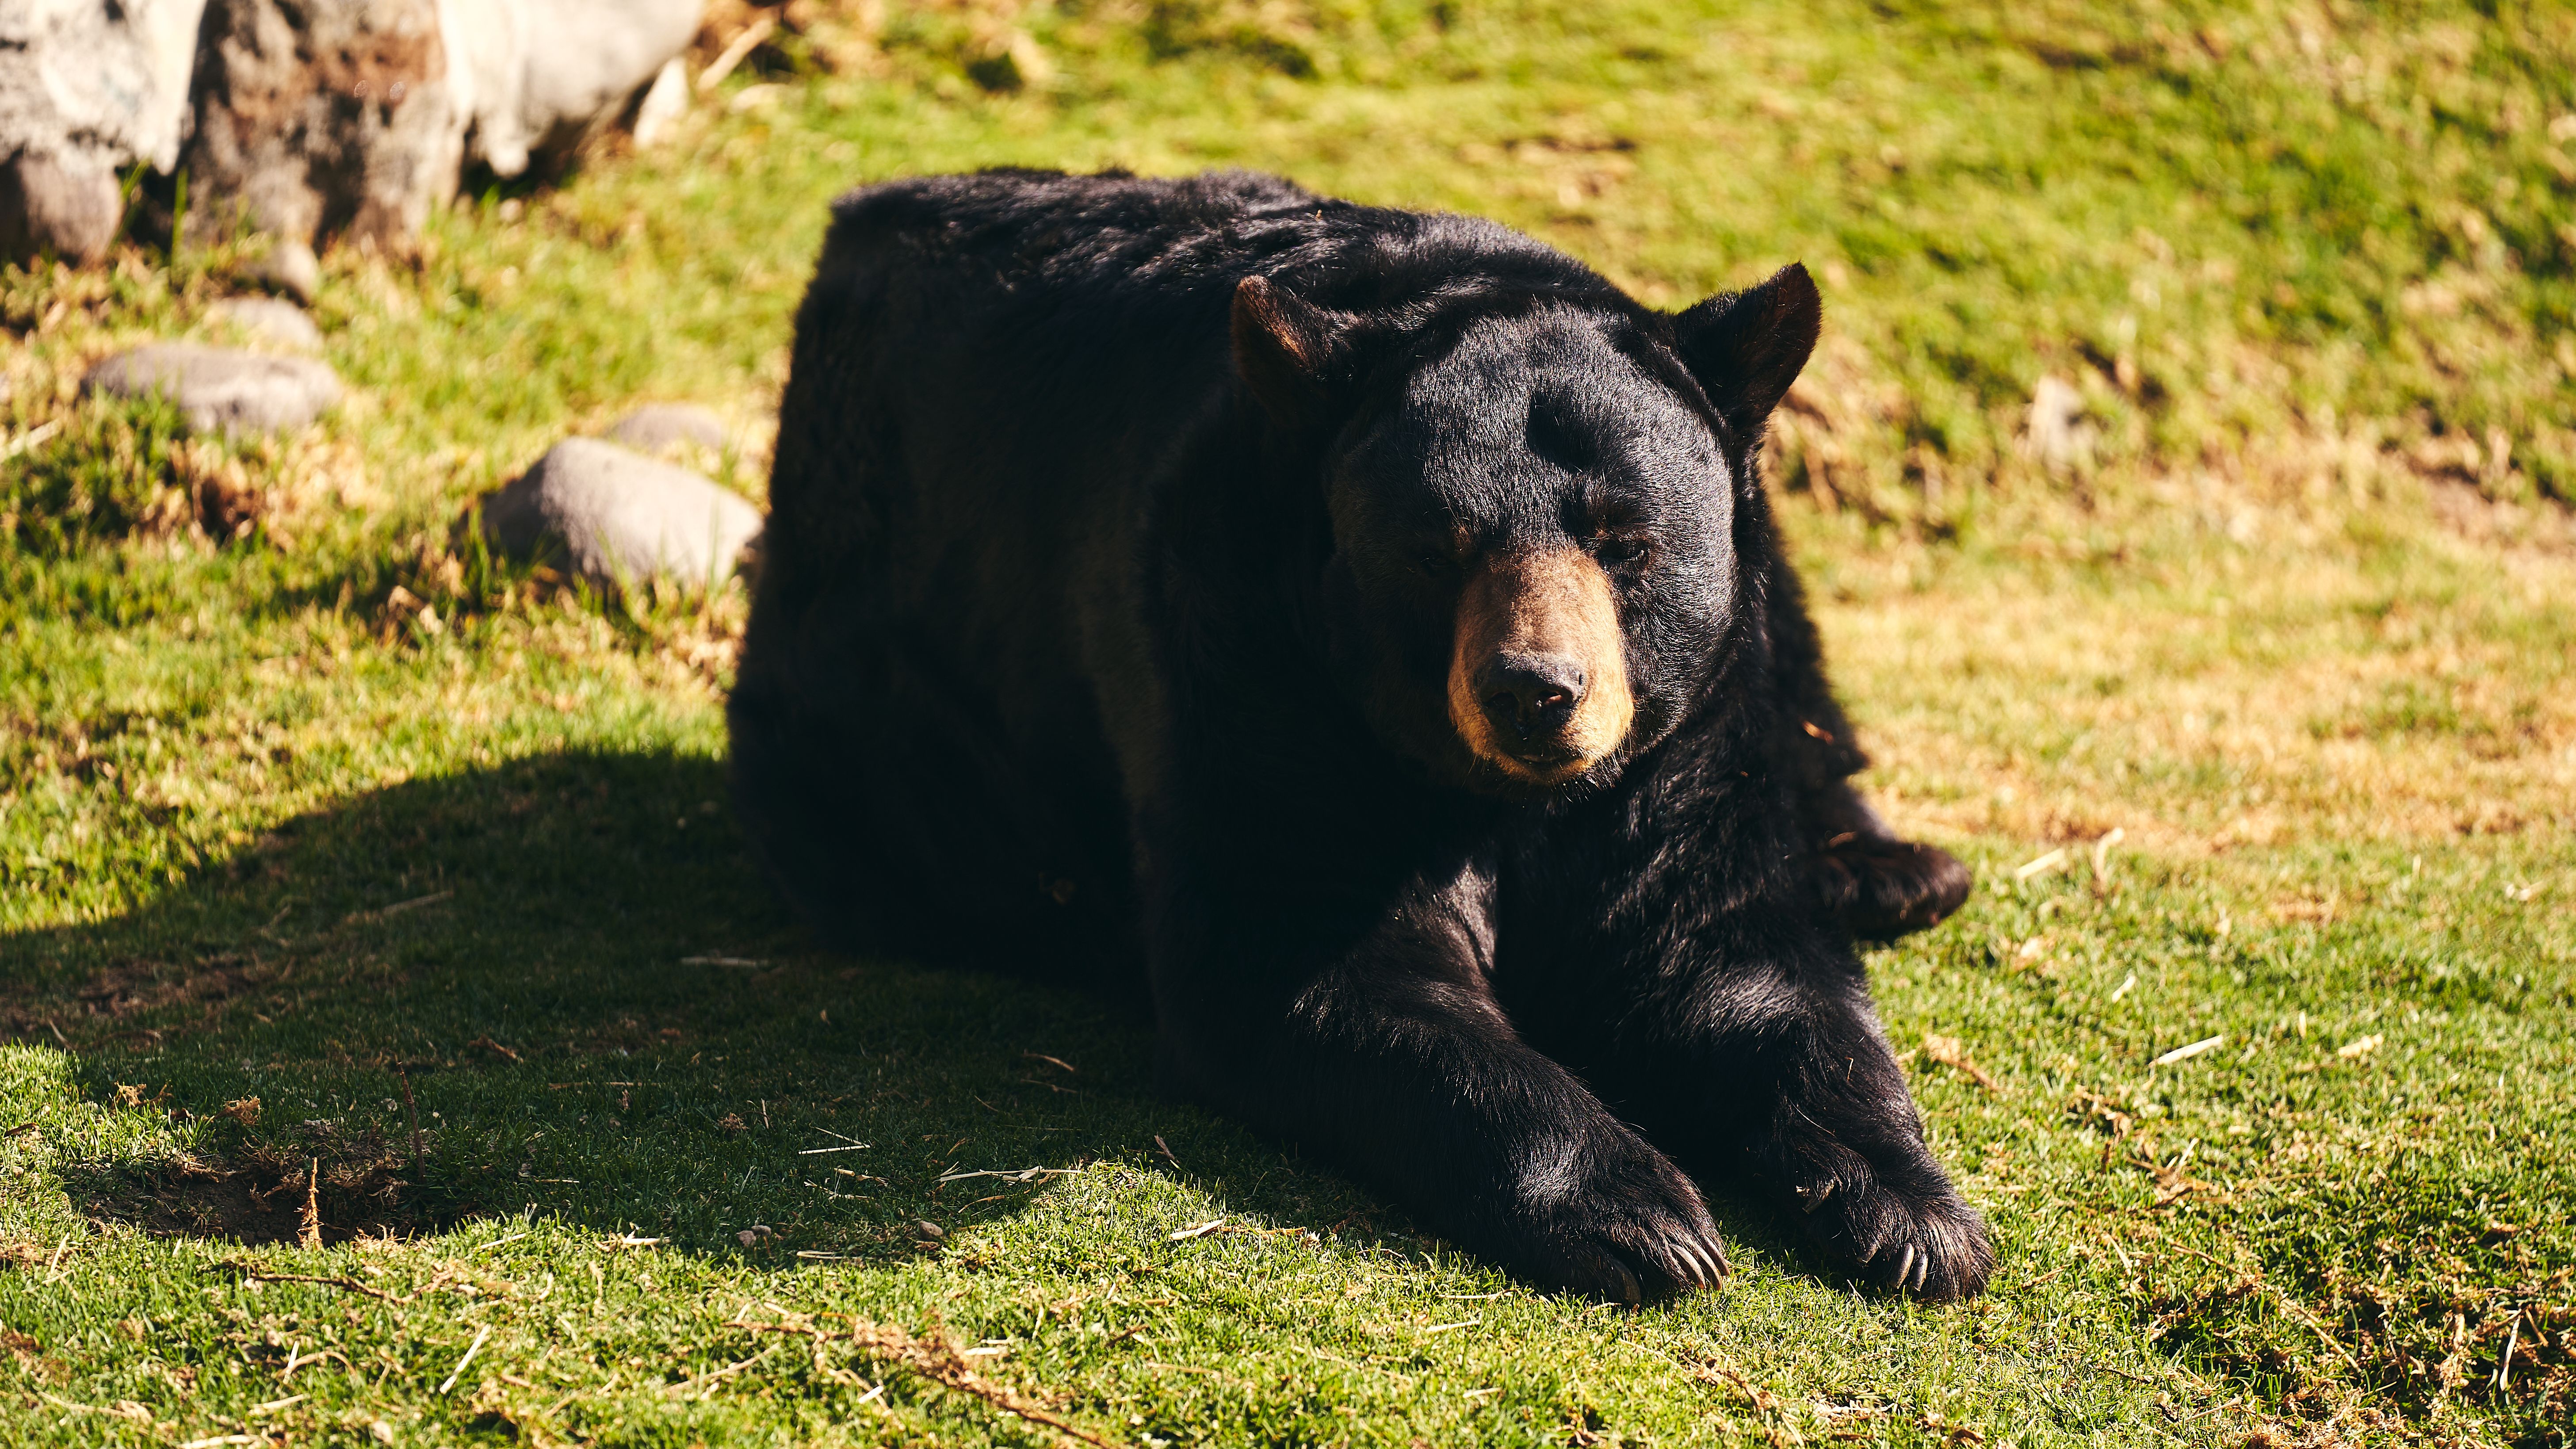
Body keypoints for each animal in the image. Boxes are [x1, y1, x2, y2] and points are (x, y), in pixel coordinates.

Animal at [729, 168, 1988, 1303]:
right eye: (1439, 549)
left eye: (1626, 541)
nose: (1538, 689)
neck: (1497, 794)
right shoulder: (1249, 668)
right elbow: (1309, 962)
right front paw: (1641, 1215)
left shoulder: (1676, 746)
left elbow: (1725, 951)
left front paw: (1915, 1213)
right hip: (861, 698)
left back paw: (1891, 869)